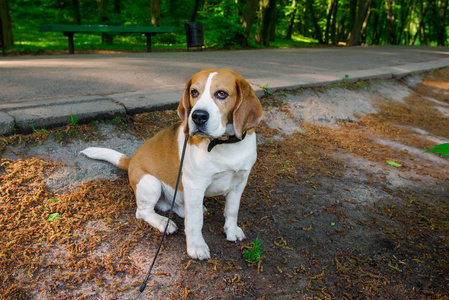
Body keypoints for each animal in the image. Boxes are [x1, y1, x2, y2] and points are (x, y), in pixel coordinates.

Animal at [81, 69, 262, 258]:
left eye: (222, 94)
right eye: (194, 92)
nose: (198, 116)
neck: (222, 143)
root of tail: (131, 161)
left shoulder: (240, 182)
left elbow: (232, 210)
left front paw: (231, 231)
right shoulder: (195, 186)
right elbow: (195, 221)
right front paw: (196, 247)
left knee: (174, 205)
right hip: (150, 183)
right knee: (143, 212)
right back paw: (162, 222)